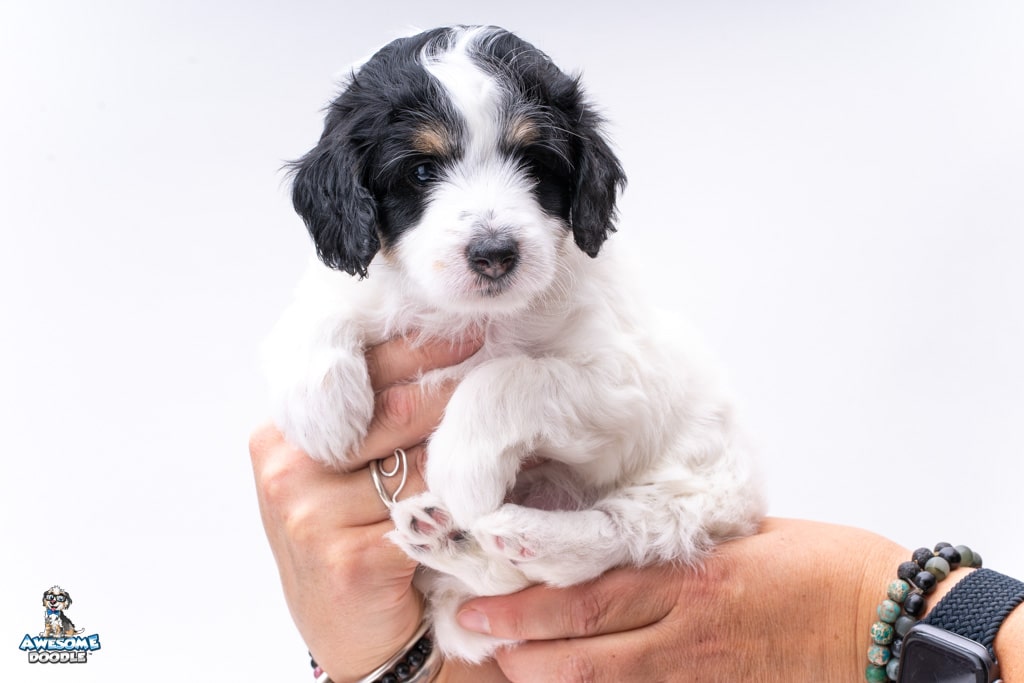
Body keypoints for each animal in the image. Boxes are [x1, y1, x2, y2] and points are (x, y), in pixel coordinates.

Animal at [268, 26, 765, 663]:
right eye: (421, 171)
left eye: (535, 161)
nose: (495, 253)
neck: (472, 315)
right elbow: (326, 297)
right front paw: (319, 407)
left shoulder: (628, 380)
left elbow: (507, 376)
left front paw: (461, 467)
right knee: (489, 597)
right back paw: (447, 537)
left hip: (705, 479)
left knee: (614, 536)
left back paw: (520, 532)